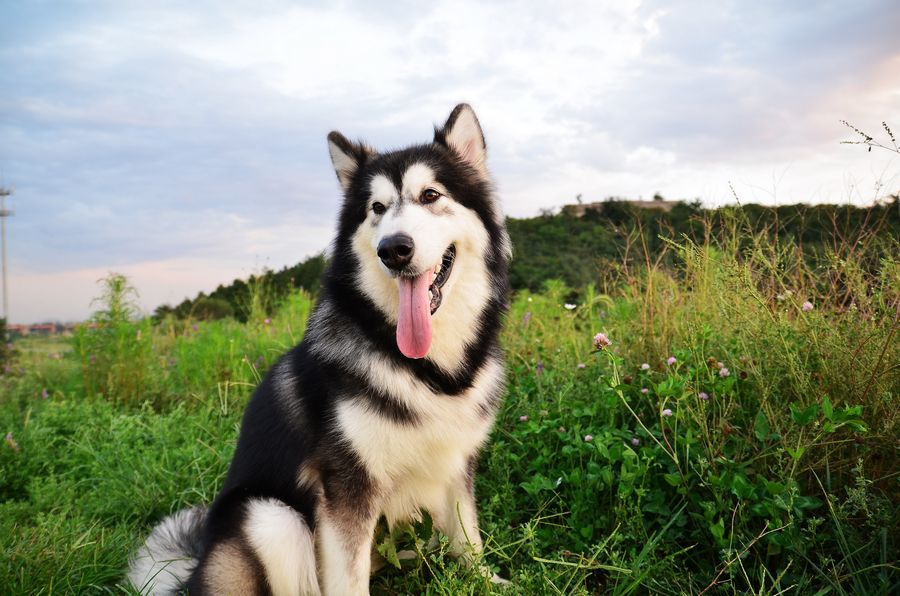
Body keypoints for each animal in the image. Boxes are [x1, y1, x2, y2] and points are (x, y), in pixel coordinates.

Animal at [130, 105, 516, 592]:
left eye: (431, 195)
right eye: (376, 208)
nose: (394, 249)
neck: (429, 369)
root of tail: (195, 570)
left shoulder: (455, 462)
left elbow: (468, 535)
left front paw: (486, 580)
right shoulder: (346, 484)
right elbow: (348, 579)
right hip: (269, 517)